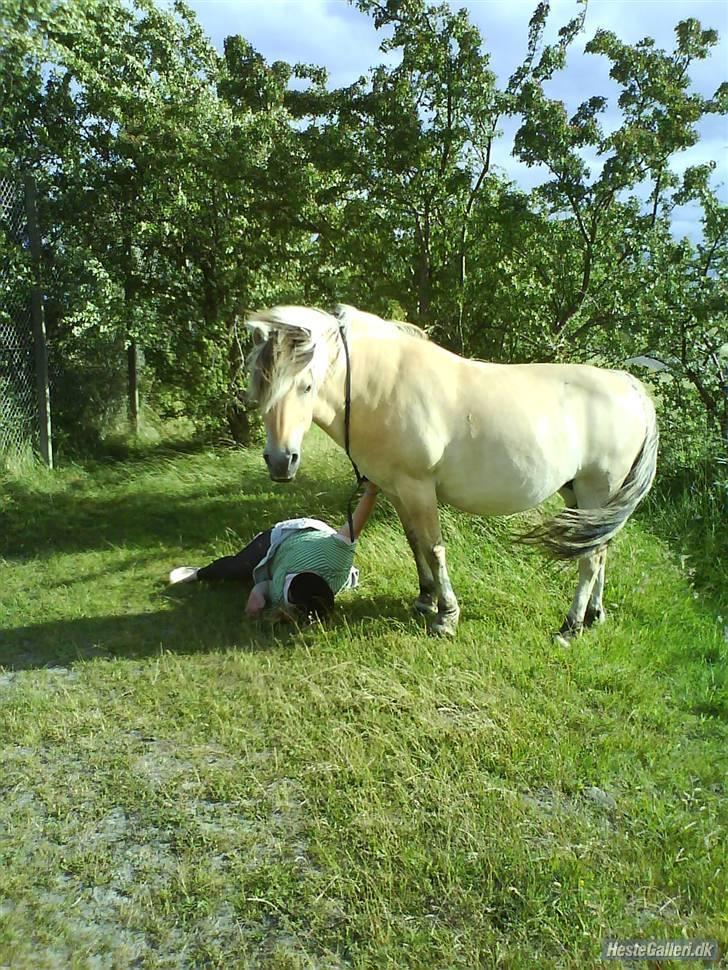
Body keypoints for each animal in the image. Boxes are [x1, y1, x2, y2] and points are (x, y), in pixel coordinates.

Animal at [246, 300, 660, 636]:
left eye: (306, 386)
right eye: (259, 384)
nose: (280, 461)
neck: (383, 386)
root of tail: (627, 384)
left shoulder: (418, 488)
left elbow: (434, 548)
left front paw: (445, 616)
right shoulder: (396, 490)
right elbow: (415, 543)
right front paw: (425, 600)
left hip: (596, 491)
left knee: (591, 558)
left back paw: (570, 627)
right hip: (583, 497)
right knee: (601, 549)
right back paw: (593, 616)